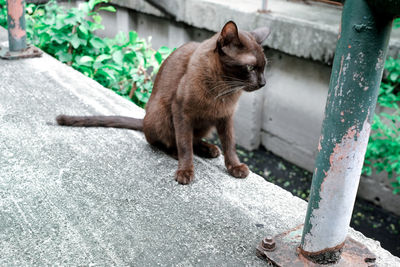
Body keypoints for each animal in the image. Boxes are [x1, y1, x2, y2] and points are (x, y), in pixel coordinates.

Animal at [56, 21, 270, 185]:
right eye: (250, 68)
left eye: (264, 67)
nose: (263, 83)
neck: (224, 89)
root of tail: (144, 119)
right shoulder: (181, 111)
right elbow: (184, 144)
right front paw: (185, 172)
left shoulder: (225, 116)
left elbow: (229, 144)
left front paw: (235, 167)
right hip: (162, 114)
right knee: (162, 141)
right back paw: (179, 152)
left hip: (204, 124)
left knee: (194, 139)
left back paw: (209, 149)